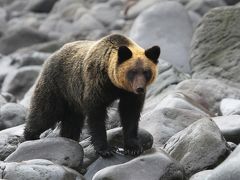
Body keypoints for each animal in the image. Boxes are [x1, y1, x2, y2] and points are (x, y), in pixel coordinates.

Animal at [23, 34, 160, 158]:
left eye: (146, 72)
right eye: (132, 72)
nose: (140, 88)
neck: (114, 84)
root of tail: (53, 54)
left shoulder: (129, 94)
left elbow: (130, 114)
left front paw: (133, 148)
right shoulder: (96, 84)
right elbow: (96, 116)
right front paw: (105, 149)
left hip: (73, 99)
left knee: (72, 121)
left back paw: (69, 138)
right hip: (58, 85)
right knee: (45, 112)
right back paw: (30, 137)